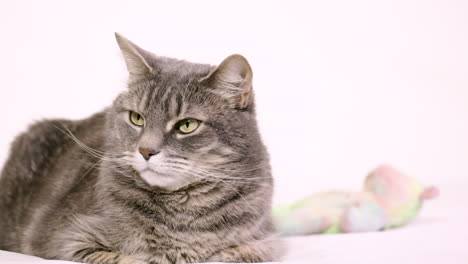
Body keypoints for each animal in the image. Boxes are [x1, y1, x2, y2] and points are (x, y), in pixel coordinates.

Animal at [0, 33, 286, 264]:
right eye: (137, 118)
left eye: (187, 125)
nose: (146, 151)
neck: (181, 217)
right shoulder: (66, 239)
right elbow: (126, 259)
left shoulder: (267, 241)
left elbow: (236, 253)